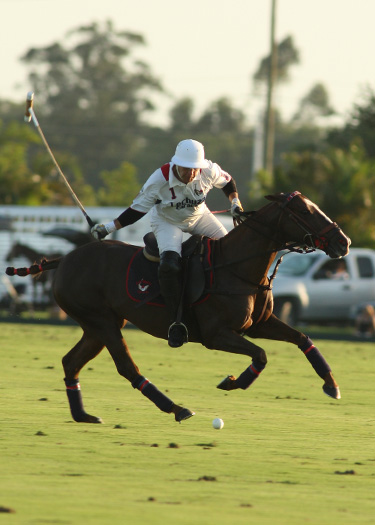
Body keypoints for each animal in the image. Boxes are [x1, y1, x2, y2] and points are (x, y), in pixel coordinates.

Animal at [5, 190, 352, 424]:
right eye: (304, 211)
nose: (343, 242)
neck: (237, 268)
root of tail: (64, 259)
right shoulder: (216, 335)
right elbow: (261, 355)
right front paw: (233, 382)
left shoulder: (259, 324)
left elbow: (304, 339)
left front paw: (332, 385)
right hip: (101, 321)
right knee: (126, 367)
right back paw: (177, 408)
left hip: (99, 325)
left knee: (70, 362)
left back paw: (83, 415)